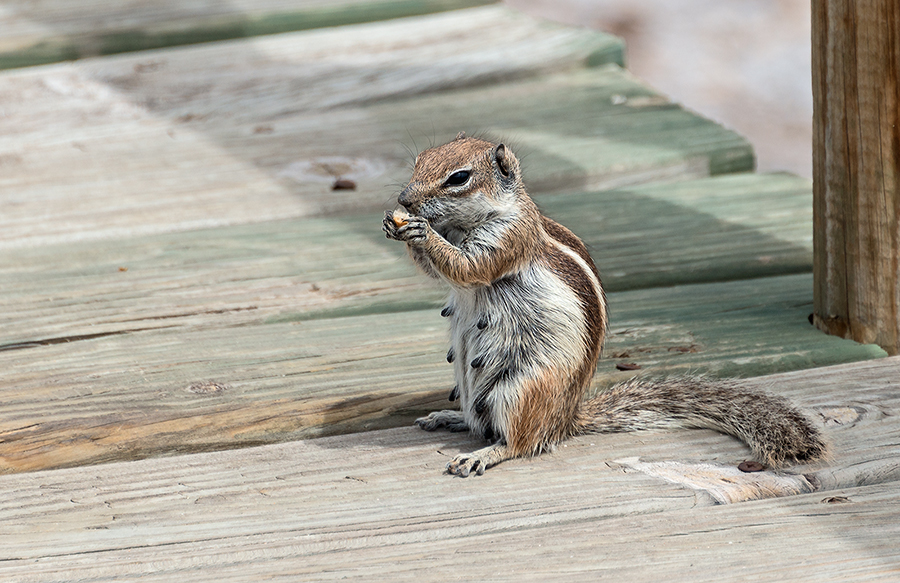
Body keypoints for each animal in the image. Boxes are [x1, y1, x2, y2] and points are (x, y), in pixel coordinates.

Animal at [380, 135, 824, 476]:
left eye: (459, 178)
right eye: (419, 160)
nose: (404, 198)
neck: (464, 224)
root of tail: (565, 420)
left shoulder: (509, 240)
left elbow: (467, 267)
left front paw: (421, 232)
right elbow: (440, 271)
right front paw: (396, 224)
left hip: (520, 390)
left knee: (521, 442)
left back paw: (484, 454)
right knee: (480, 421)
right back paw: (449, 417)